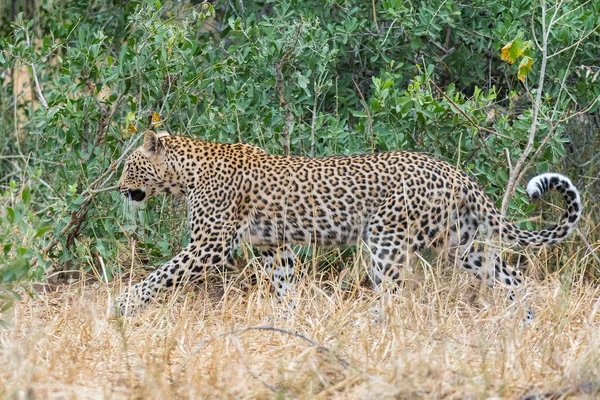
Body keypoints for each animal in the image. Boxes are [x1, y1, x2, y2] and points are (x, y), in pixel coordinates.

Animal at [113, 130, 580, 320]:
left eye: (129, 167)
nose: (117, 188)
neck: (185, 172)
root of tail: (454, 172)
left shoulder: (208, 245)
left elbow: (159, 276)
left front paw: (121, 307)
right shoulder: (274, 247)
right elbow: (285, 287)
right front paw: (290, 324)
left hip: (387, 238)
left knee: (391, 294)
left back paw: (371, 329)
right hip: (462, 243)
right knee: (510, 276)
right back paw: (526, 323)